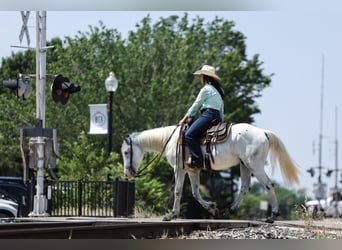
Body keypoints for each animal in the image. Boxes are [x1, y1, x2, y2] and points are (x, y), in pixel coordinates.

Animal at [121, 122, 300, 222]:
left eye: (126, 152)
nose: (127, 174)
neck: (172, 140)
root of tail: (263, 132)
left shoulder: (179, 169)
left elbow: (178, 191)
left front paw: (171, 215)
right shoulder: (192, 171)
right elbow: (195, 193)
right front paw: (212, 208)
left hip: (255, 165)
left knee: (268, 185)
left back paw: (272, 216)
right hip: (245, 165)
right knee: (244, 188)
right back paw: (230, 210)